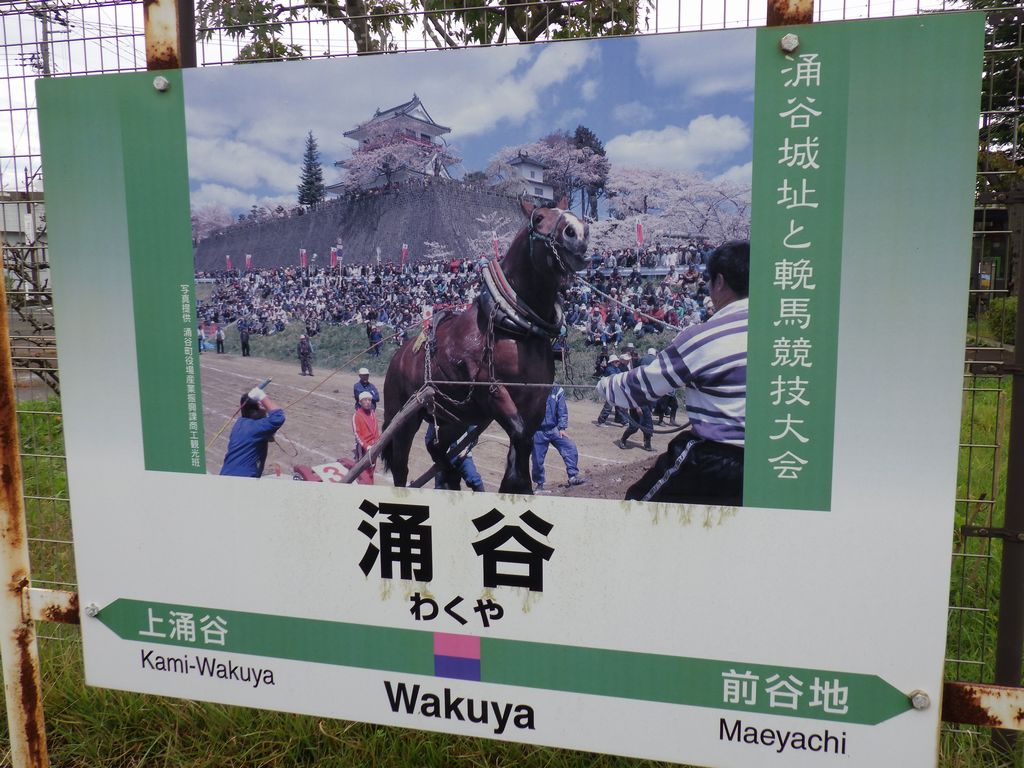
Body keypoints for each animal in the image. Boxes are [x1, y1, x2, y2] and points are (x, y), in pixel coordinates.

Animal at [381, 197, 589, 494]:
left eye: (570, 214)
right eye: (539, 218)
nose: (578, 233)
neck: (516, 329)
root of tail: (399, 354)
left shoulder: (537, 399)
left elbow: (522, 445)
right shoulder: (492, 392)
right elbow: (519, 437)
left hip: (456, 417)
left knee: (436, 447)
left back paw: (452, 477)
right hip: (404, 415)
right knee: (401, 465)